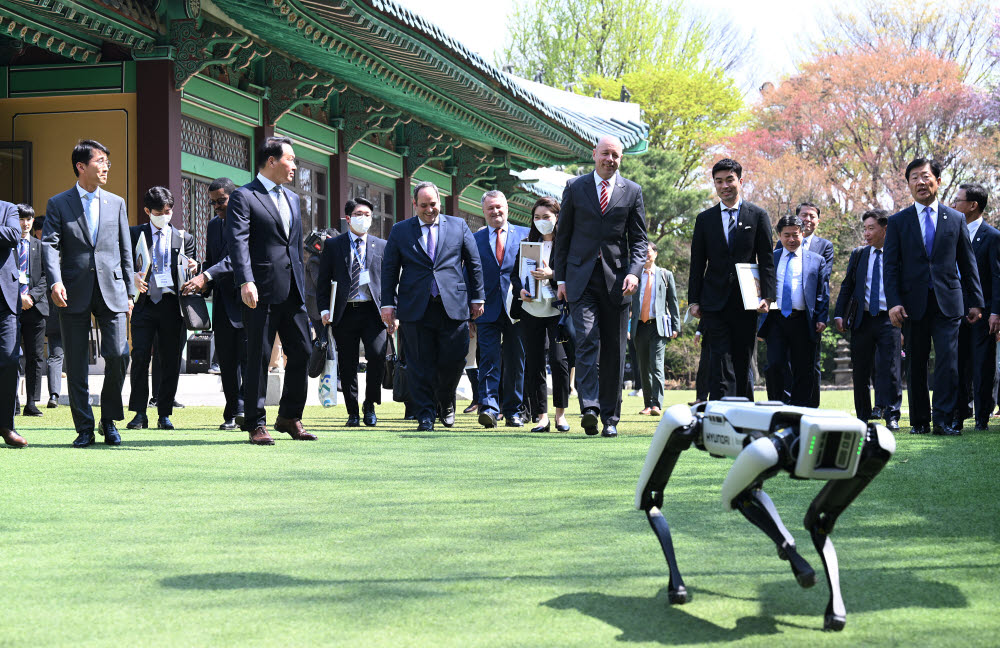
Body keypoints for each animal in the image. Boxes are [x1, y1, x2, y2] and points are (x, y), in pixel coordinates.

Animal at [640, 398, 900, 632]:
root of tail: (701, 405)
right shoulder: (767, 450)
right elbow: (741, 497)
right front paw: (803, 568)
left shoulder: (871, 451)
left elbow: (814, 520)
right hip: (692, 429)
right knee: (659, 480)